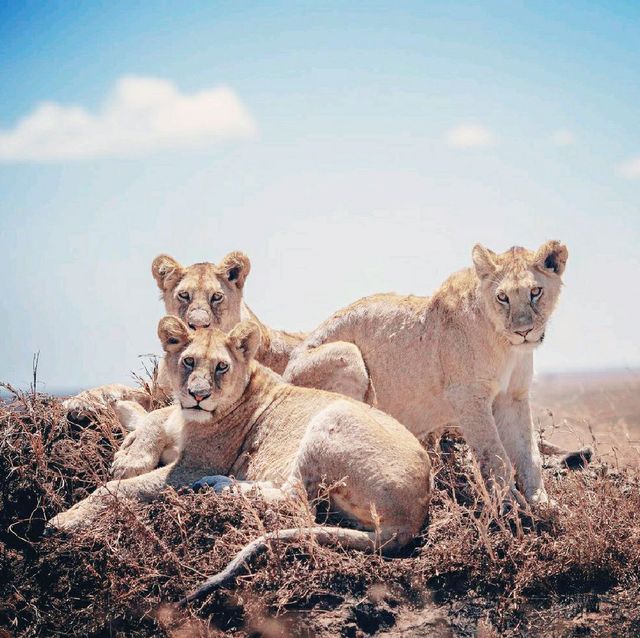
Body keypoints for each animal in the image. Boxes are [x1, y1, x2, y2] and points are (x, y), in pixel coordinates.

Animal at [48, 318, 430, 600]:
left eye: (221, 367)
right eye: (188, 361)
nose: (198, 395)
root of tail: (413, 518)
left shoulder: (190, 468)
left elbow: (117, 488)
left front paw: (66, 518)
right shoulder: (176, 421)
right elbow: (155, 414)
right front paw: (131, 451)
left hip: (333, 414)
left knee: (296, 504)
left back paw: (219, 487)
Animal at [284, 242, 592, 508]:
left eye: (536, 291)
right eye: (502, 297)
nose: (523, 331)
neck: (507, 347)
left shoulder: (513, 397)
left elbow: (529, 455)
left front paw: (542, 503)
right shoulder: (468, 395)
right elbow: (494, 454)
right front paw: (509, 505)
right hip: (348, 355)